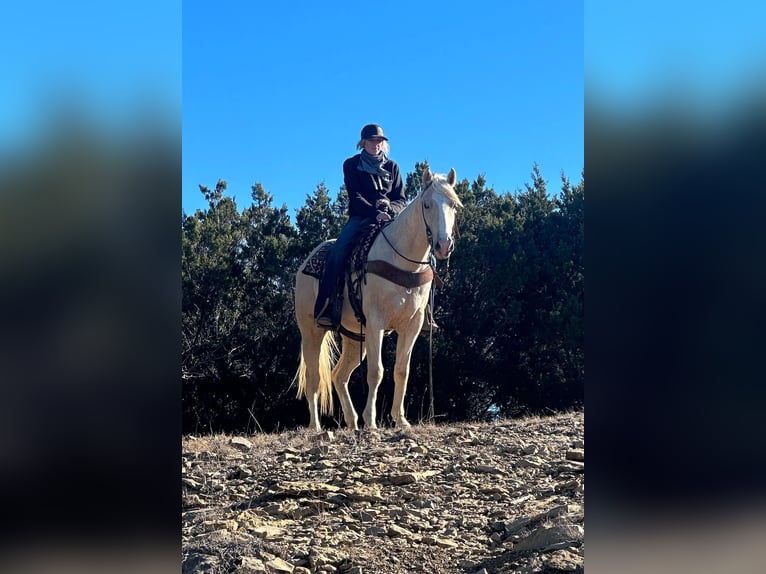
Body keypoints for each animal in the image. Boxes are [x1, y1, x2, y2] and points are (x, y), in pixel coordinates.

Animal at [294, 168, 462, 432]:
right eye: (426, 205)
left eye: (453, 205)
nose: (444, 245)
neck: (403, 260)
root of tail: (304, 265)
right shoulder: (376, 323)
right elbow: (376, 372)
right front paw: (372, 421)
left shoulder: (412, 326)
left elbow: (401, 370)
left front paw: (401, 420)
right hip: (312, 331)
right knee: (314, 378)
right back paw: (316, 427)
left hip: (355, 338)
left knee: (339, 375)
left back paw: (352, 423)